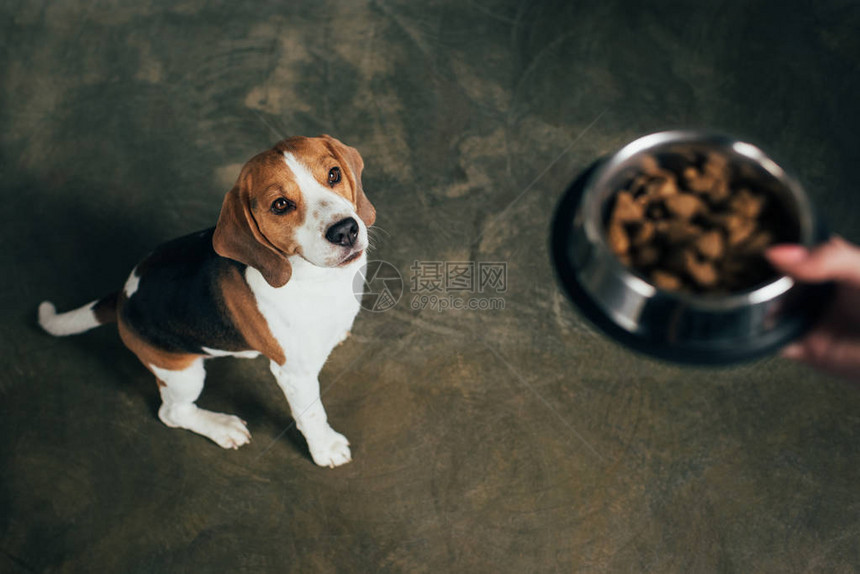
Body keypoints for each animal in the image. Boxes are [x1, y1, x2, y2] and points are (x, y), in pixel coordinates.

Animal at [37, 137, 372, 470]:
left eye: (333, 174)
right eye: (280, 205)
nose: (345, 230)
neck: (318, 279)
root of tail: (123, 296)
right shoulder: (294, 375)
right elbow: (312, 414)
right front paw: (326, 449)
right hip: (183, 374)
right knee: (172, 413)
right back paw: (221, 427)